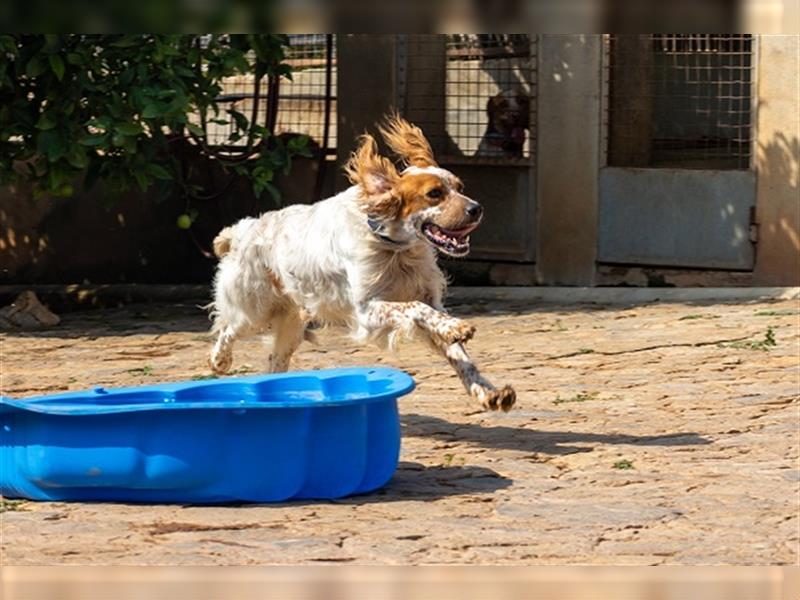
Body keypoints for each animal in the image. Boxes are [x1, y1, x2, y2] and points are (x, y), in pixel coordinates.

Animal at [209, 113, 516, 412]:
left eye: (460, 188)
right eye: (434, 194)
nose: (476, 209)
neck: (396, 250)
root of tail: (243, 230)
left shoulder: (431, 300)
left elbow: (457, 352)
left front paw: (487, 391)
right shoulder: (367, 310)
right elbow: (415, 308)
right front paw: (457, 328)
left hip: (292, 324)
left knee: (275, 361)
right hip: (253, 310)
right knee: (227, 329)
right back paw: (219, 360)